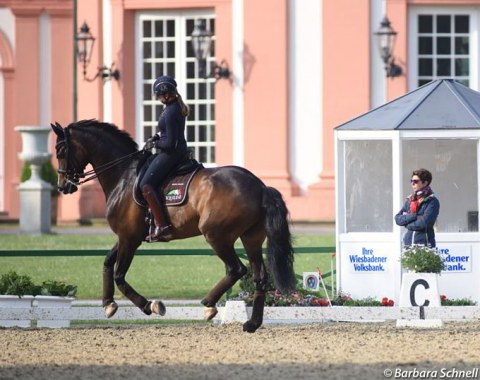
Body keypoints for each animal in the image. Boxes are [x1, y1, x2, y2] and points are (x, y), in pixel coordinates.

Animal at [49, 119, 296, 332]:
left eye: (60, 151)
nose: (63, 186)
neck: (124, 176)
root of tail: (259, 186)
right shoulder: (127, 237)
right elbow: (108, 263)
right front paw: (108, 304)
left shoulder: (129, 238)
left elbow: (120, 275)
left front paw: (150, 305)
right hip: (250, 238)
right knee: (259, 277)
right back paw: (252, 323)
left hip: (217, 235)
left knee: (236, 269)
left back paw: (209, 305)